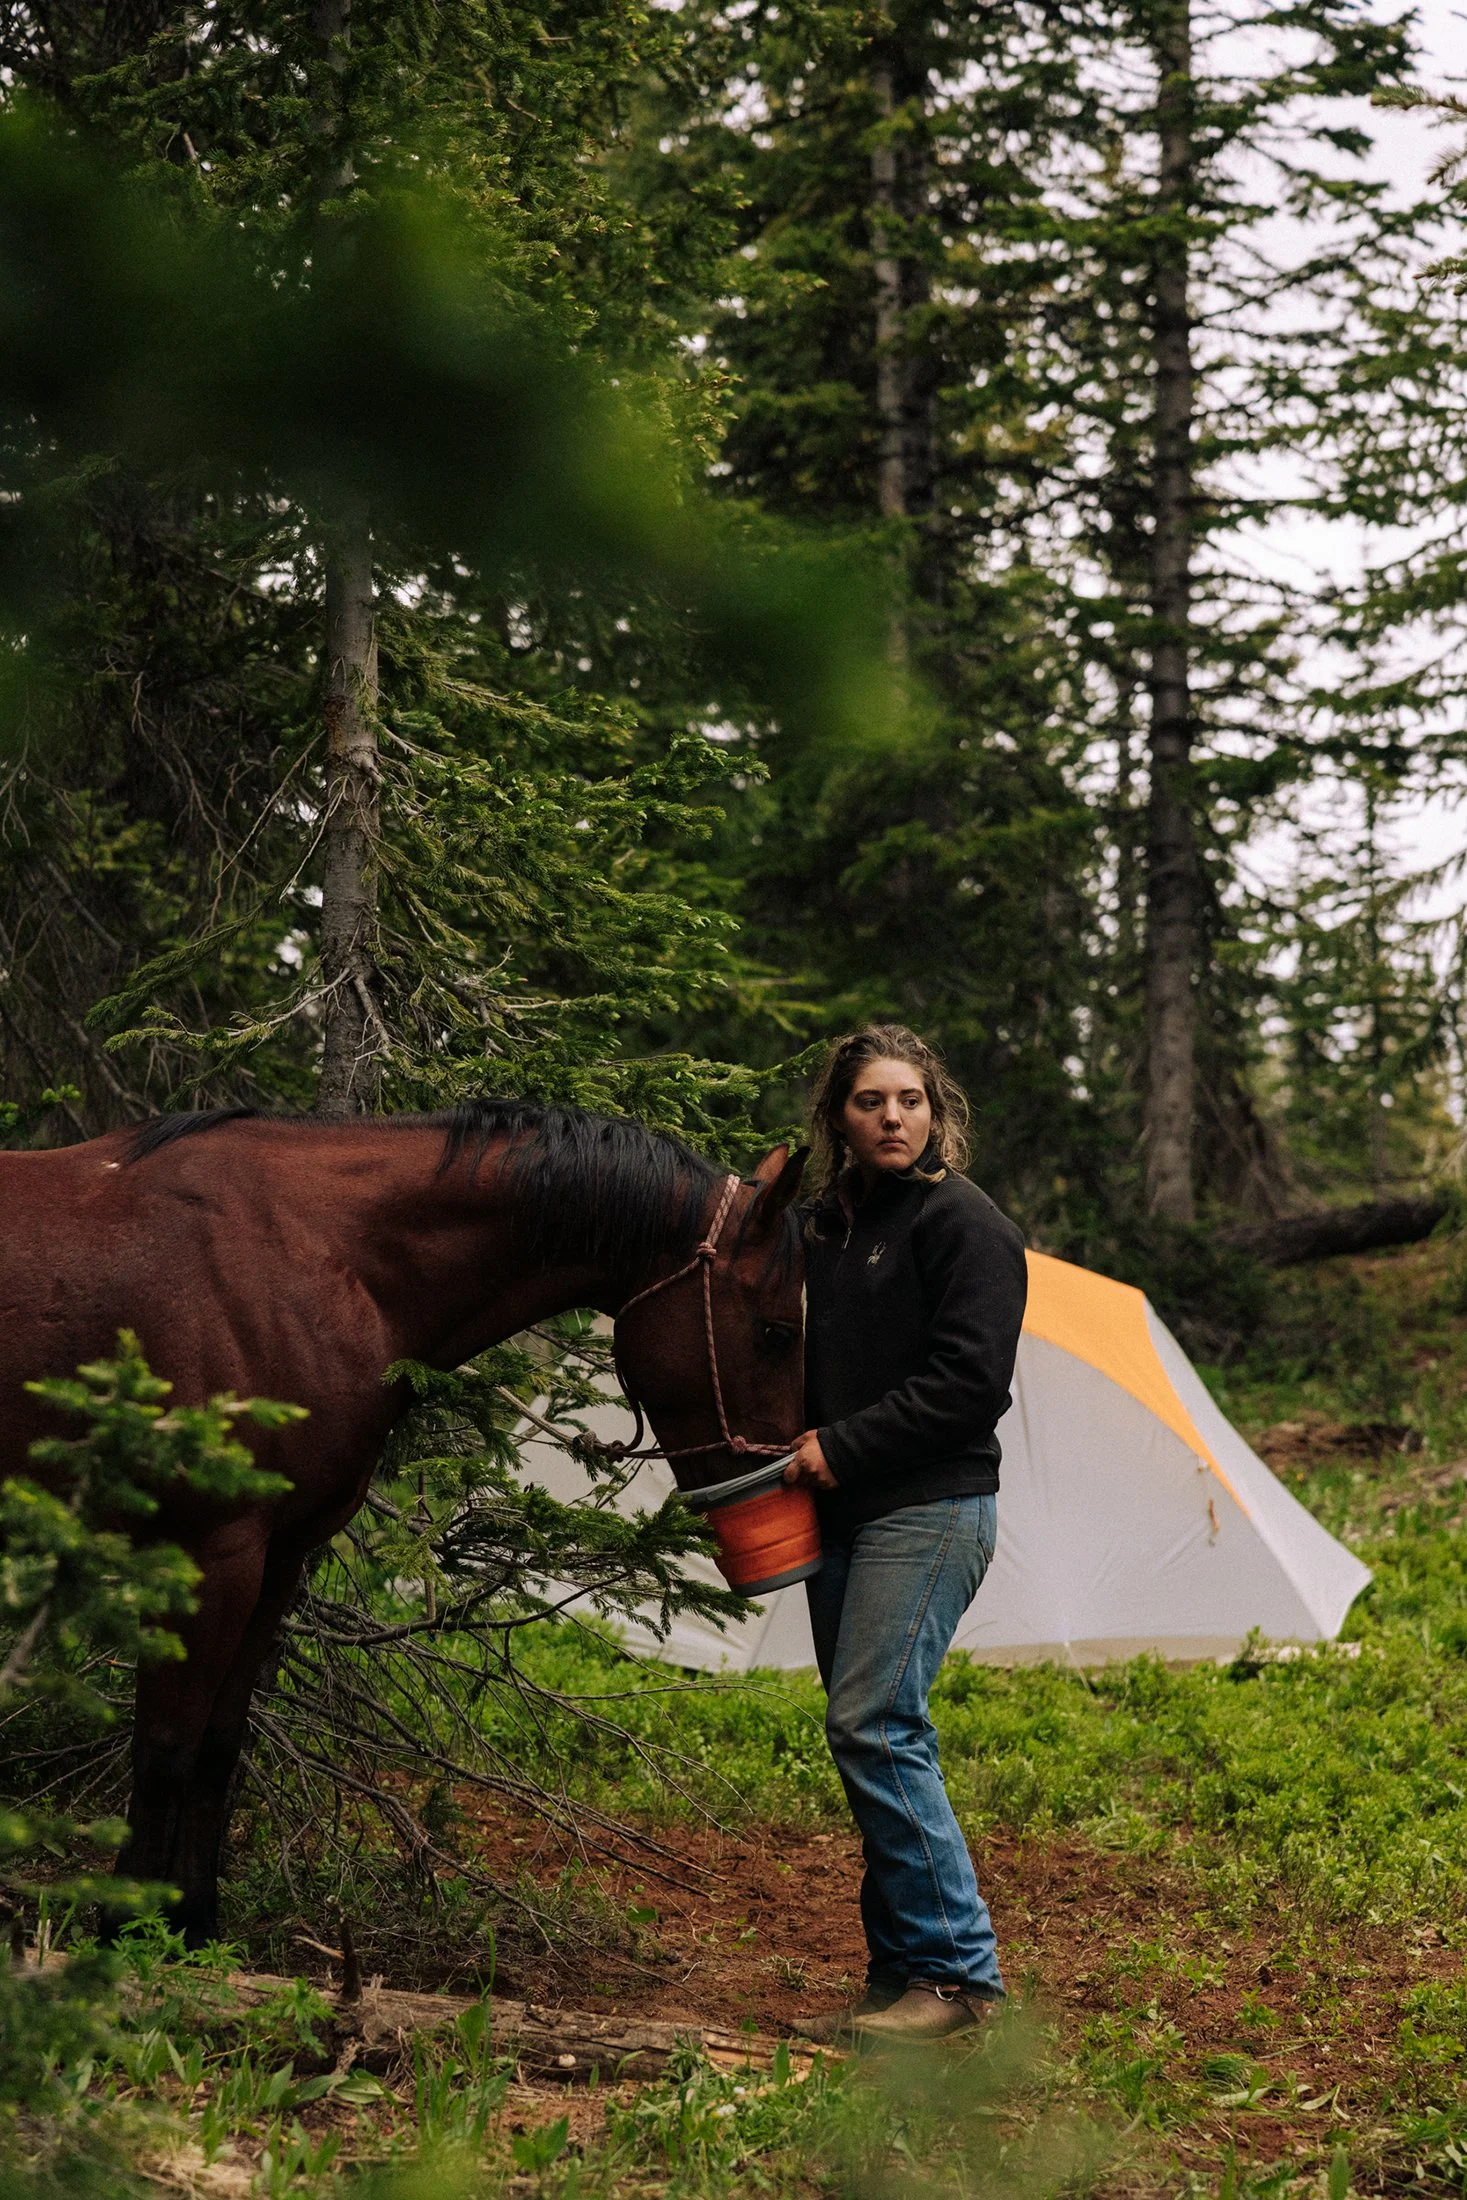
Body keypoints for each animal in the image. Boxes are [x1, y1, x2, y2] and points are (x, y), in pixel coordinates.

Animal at [0, 1099, 807, 1942]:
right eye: (777, 1332)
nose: (781, 1476)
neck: (310, 1263)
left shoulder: (277, 1558)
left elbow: (220, 1744)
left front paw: (193, 1920)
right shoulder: (205, 1553)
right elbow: (164, 1750)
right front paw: (124, 1925)